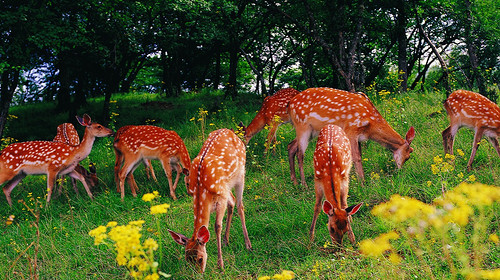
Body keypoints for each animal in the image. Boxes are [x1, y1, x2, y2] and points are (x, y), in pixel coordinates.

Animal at [169, 129, 254, 274]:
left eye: (200, 258)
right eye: (187, 259)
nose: (199, 273)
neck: (201, 189)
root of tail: (230, 131)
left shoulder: (220, 198)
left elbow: (217, 226)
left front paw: (221, 265)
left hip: (240, 174)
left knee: (239, 205)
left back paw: (248, 244)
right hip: (226, 186)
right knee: (232, 201)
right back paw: (226, 241)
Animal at [288, 86, 416, 185]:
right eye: (409, 155)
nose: (399, 172)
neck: (370, 124)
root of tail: (289, 104)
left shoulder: (359, 136)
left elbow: (359, 156)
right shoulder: (351, 129)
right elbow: (356, 157)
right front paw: (362, 184)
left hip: (311, 131)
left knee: (291, 146)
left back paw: (295, 182)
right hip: (302, 125)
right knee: (300, 154)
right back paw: (304, 185)